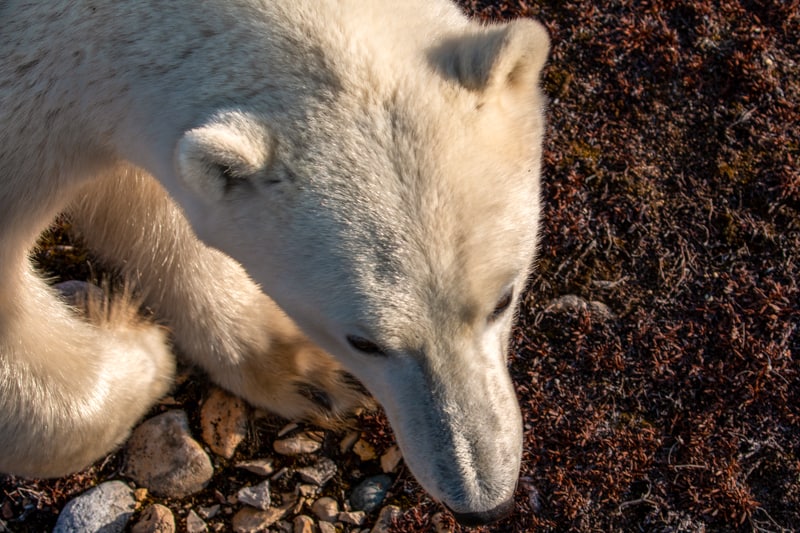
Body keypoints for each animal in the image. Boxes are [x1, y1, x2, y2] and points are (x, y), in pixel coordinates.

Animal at [0, 0, 549, 525]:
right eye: (363, 342)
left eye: (502, 300)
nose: (482, 503)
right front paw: (137, 344)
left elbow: (140, 206)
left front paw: (305, 370)